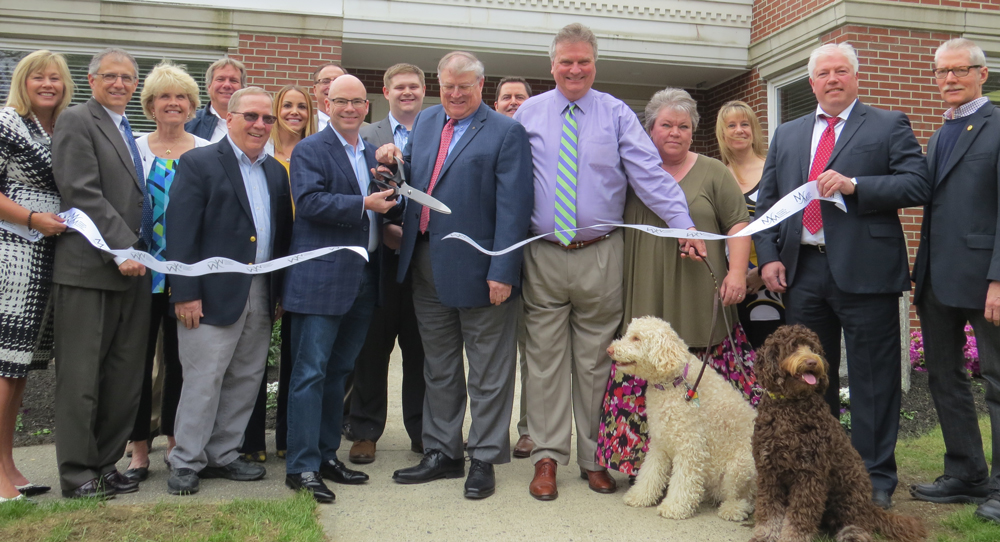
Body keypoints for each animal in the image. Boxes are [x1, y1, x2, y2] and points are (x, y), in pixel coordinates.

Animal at [608, 318, 756, 524]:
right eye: (628, 333)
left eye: (636, 338)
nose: (610, 349)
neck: (673, 384)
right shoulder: (659, 443)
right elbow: (650, 472)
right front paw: (640, 495)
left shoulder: (690, 446)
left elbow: (683, 481)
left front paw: (674, 507)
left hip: (740, 465)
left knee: (745, 497)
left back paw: (733, 509)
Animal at [752, 328, 928, 542]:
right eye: (793, 347)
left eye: (813, 348)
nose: (812, 362)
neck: (790, 406)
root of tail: (869, 505)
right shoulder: (768, 472)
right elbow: (769, 510)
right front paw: (765, 535)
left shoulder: (810, 473)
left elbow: (800, 515)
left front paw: (793, 537)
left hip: (849, 490)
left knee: (859, 522)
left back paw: (852, 534)